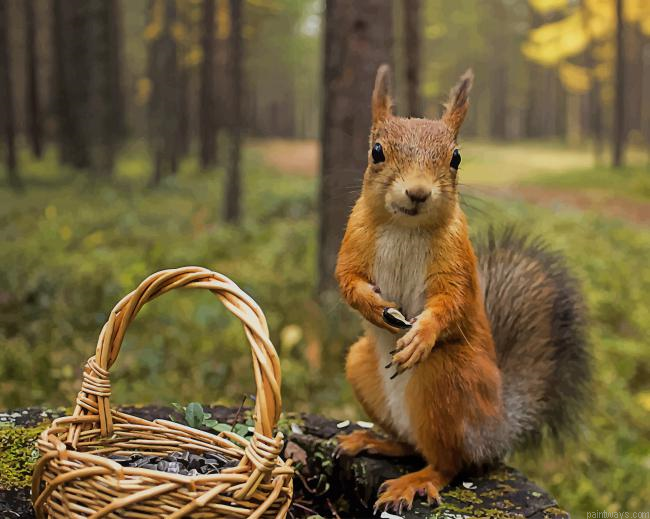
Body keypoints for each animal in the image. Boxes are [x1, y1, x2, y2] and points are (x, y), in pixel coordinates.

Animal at [334, 64, 590, 513]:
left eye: (455, 157)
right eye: (376, 151)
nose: (417, 192)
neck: (405, 226)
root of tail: (496, 429)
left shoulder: (456, 260)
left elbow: (450, 301)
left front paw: (421, 335)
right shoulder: (354, 240)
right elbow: (347, 280)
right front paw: (375, 308)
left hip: (447, 379)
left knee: (449, 463)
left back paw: (415, 481)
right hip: (360, 365)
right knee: (412, 445)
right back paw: (373, 441)